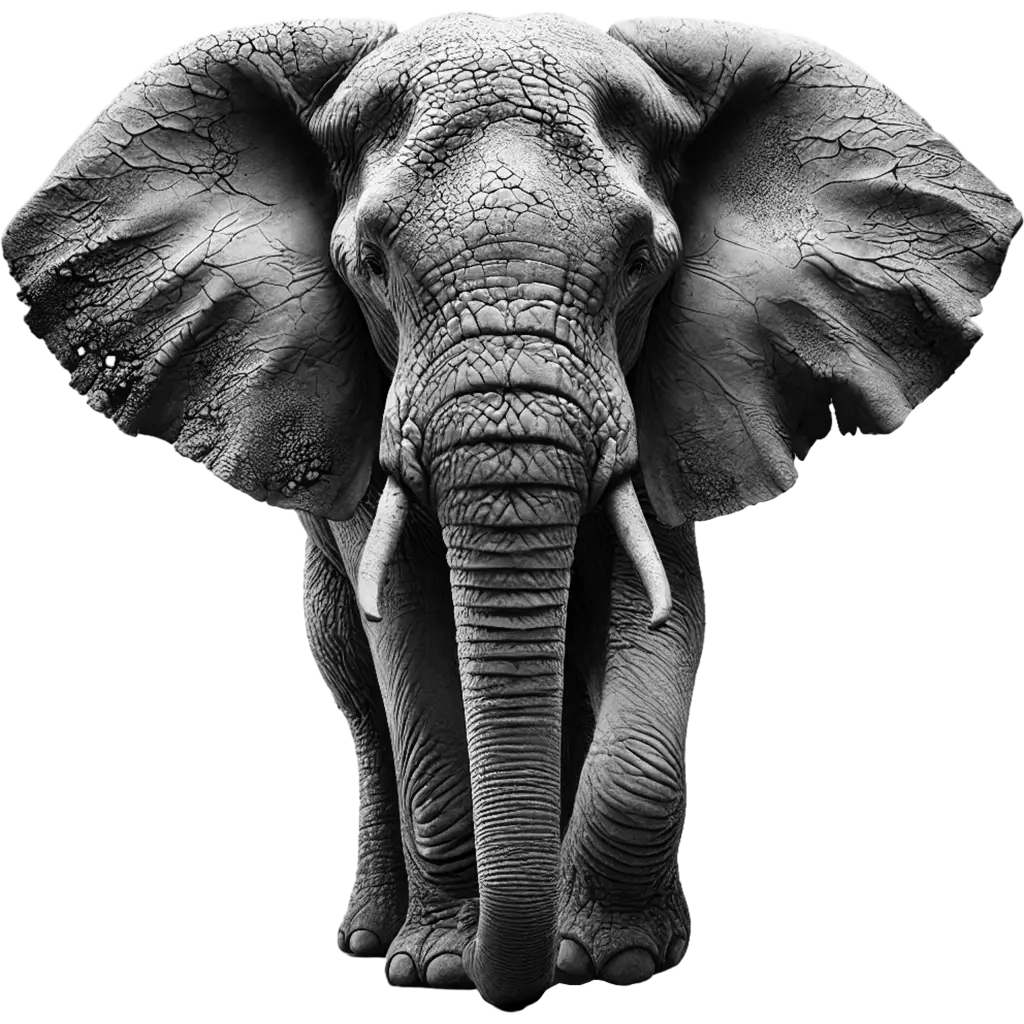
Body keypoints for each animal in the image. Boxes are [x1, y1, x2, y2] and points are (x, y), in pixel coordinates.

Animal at [2, 10, 1020, 1007]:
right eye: (371, 264)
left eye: (642, 261)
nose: (518, 986)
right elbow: (408, 631)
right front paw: (439, 968)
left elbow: (654, 609)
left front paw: (610, 965)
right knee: (356, 689)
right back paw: (367, 939)